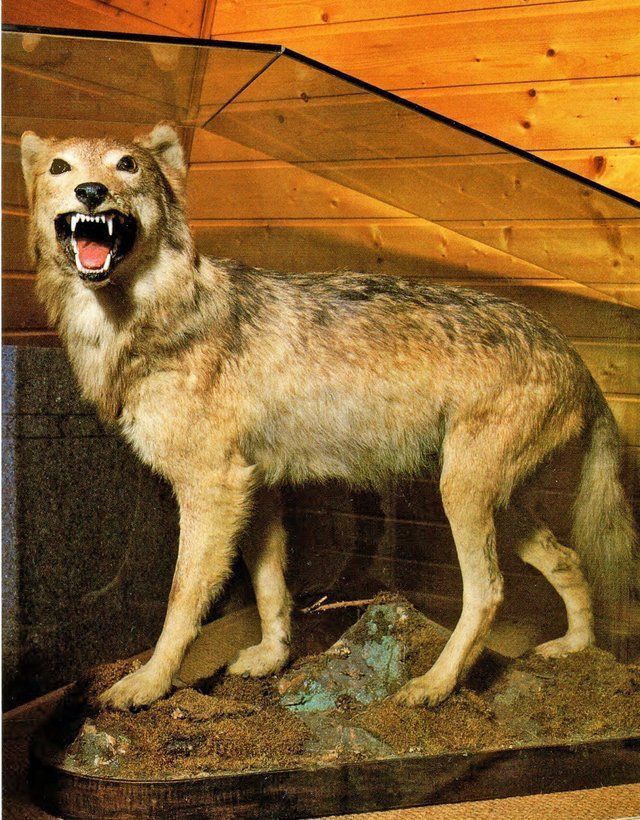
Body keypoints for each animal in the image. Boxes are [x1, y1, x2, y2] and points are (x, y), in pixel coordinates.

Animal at [21, 123, 637, 710]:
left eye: (127, 165)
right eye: (60, 167)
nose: (91, 191)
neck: (149, 319)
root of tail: (576, 360)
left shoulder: (212, 486)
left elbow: (181, 600)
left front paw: (149, 683)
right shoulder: (256, 487)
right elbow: (271, 586)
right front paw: (271, 658)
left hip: (462, 495)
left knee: (488, 591)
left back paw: (434, 686)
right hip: (500, 506)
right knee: (568, 561)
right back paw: (576, 649)